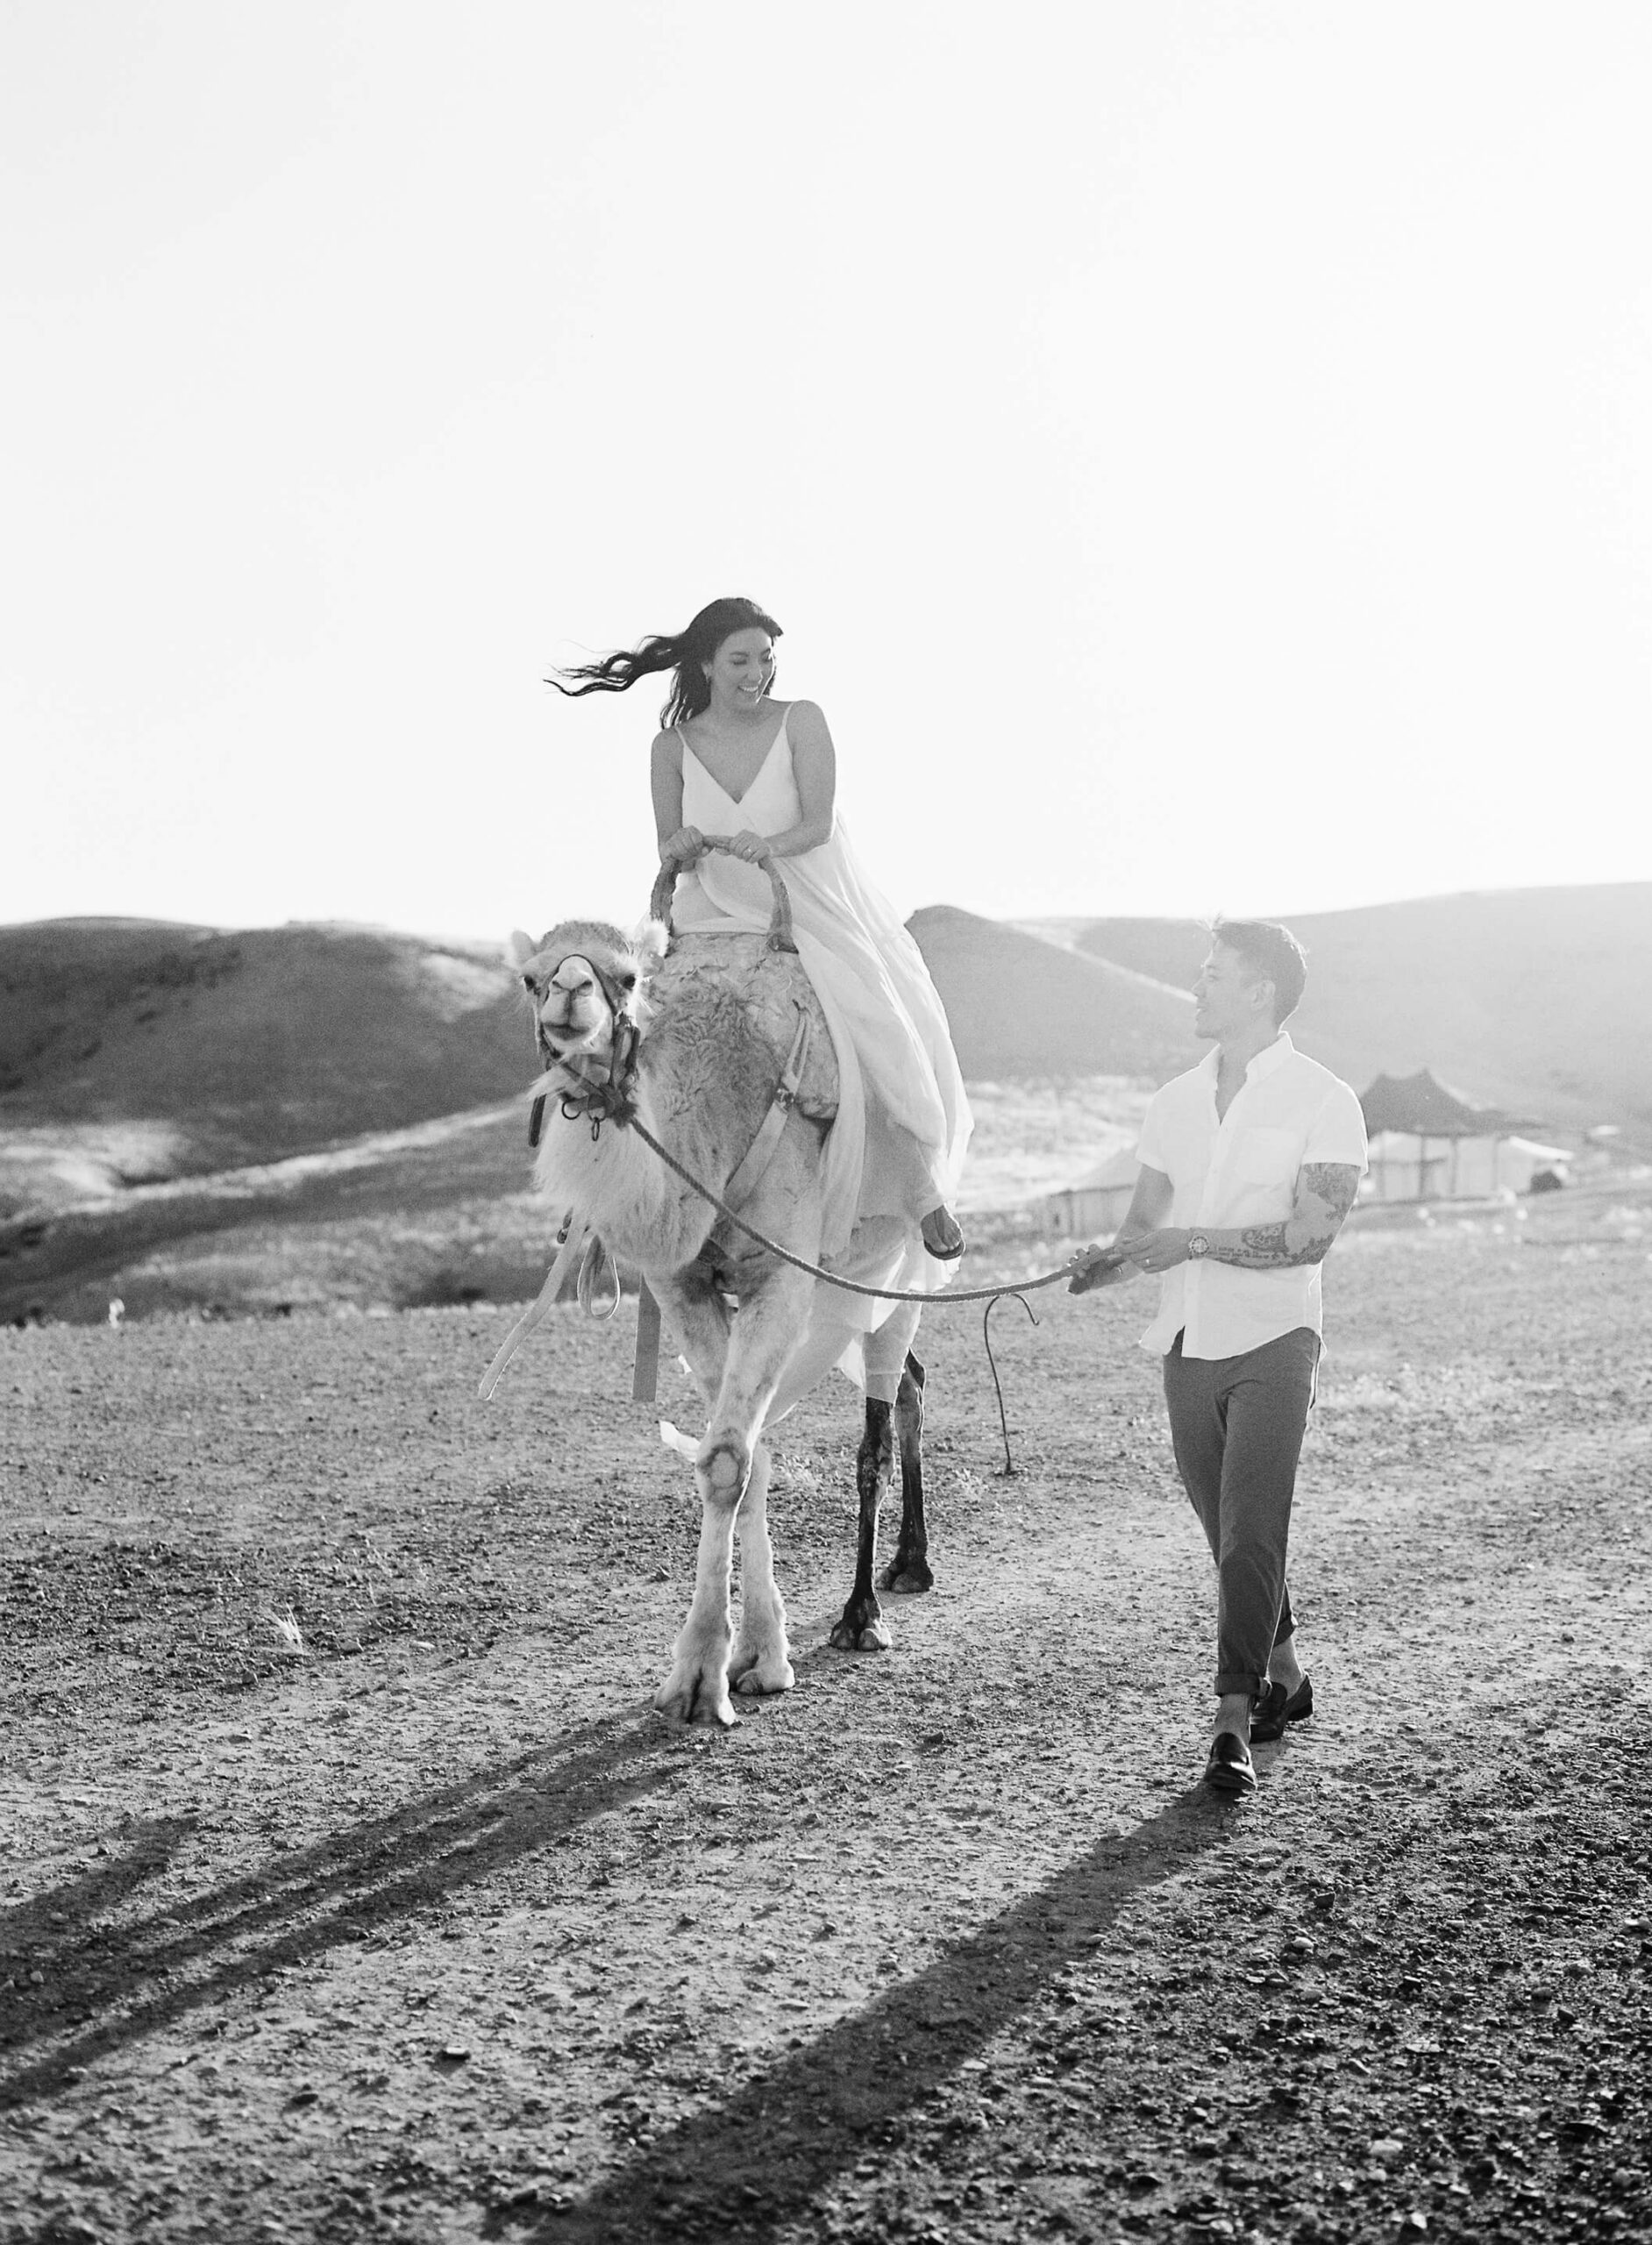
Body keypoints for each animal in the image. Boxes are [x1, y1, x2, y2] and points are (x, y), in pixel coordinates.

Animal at [502, 884, 933, 1724]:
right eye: (531, 978)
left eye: (628, 977)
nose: (570, 994)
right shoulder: (685, 1287)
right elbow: (742, 1455)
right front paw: (754, 1655)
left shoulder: (781, 1275)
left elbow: (731, 1459)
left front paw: (703, 1680)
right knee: (909, 1383)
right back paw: (904, 1564)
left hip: (897, 1269)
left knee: (883, 1413)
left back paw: (867, 1610)